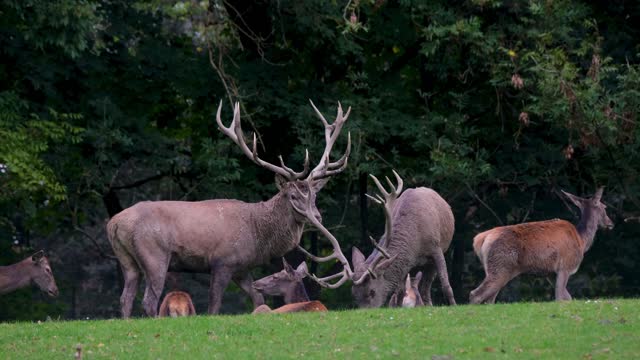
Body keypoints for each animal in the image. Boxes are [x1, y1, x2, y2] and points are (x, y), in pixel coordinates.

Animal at [107, 100, 352, 316]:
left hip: (127, 261)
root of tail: (114, 223)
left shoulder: (241, 267)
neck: (258, 235)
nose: (317, 215)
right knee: (149, 300)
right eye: (293, 195)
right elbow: (214, 306)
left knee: (125, 298)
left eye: (314, 195)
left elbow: (258, 297)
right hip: (155, 256)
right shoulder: (222, 262)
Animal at [340, 172, 456, 306]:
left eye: (372, 292)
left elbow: (446, 285)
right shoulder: (404, 264)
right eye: (353, 295)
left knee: (426, 287)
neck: (416, 246)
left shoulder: (436, 248)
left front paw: (454, 305)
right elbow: (400, 292)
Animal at [470, 188, 616, 304]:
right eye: (604, 207)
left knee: (489, 298)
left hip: (495, 269)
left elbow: (567, 297)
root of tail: (480, 239)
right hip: (500, 266)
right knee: (476, 295)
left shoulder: (553, 272)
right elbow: (560, 297)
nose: (611, 223)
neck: (582, 240)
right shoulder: (566, 266)